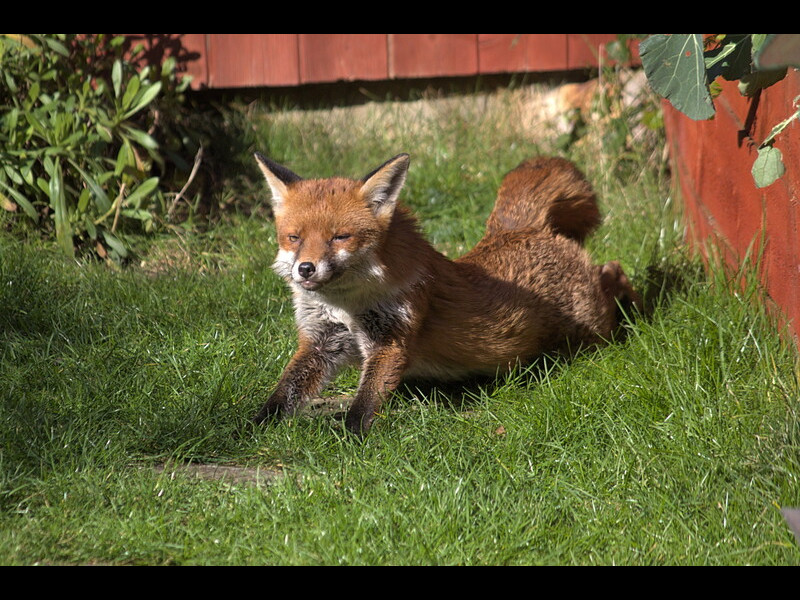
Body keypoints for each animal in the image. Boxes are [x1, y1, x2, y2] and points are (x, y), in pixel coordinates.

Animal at [253, 154, 640, 436]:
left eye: (339, 237)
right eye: (294, 238)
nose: (305, 269)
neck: (347, 305)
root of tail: (518, 229)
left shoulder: (390, 340)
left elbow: (364, 403)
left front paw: (349, 438)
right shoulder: (322, 341)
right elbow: (283, 393)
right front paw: (253, 428)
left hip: (591, 328)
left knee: (613, 273)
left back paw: (635, 308)